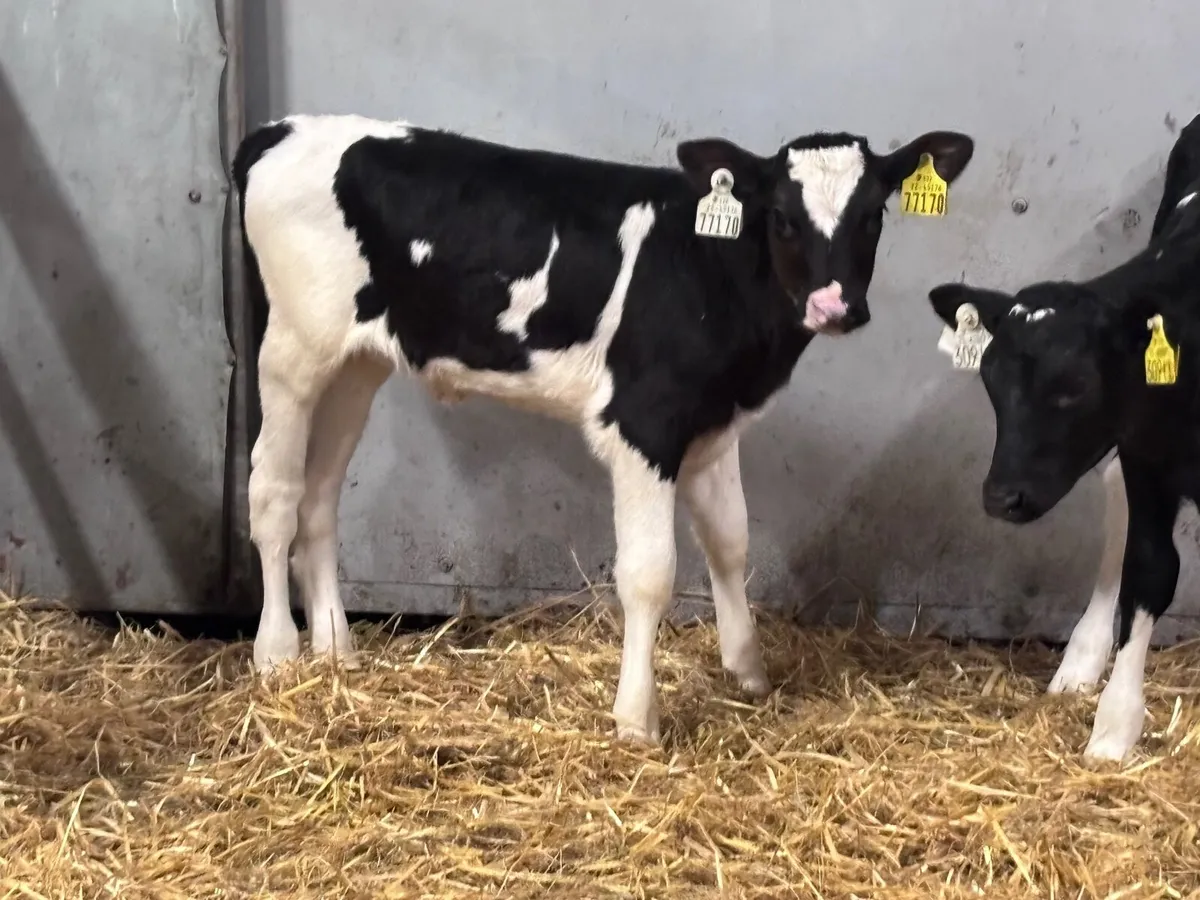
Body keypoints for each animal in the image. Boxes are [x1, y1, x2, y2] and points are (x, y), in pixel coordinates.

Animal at [232, 113, 975, 743]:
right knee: (273, 494)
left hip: (355, 364)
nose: (836, 306)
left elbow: (731, 544)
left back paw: (335, 652)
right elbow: (649, 573)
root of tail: (281, 129)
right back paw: (277, 654)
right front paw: (636, 718)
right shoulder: (644, 424)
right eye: (784, 218)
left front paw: (748, 671)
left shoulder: (712, 427)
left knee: (319, 497)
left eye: (874, 214)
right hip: (291, 350)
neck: (710, 272)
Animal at [927, 112, 1200, 761]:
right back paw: (1082, 657)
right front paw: (1113, 730)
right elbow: (1150, 570)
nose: (1000, 497)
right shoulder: (1149, 456)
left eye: (1074, 385)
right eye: (991, 379)